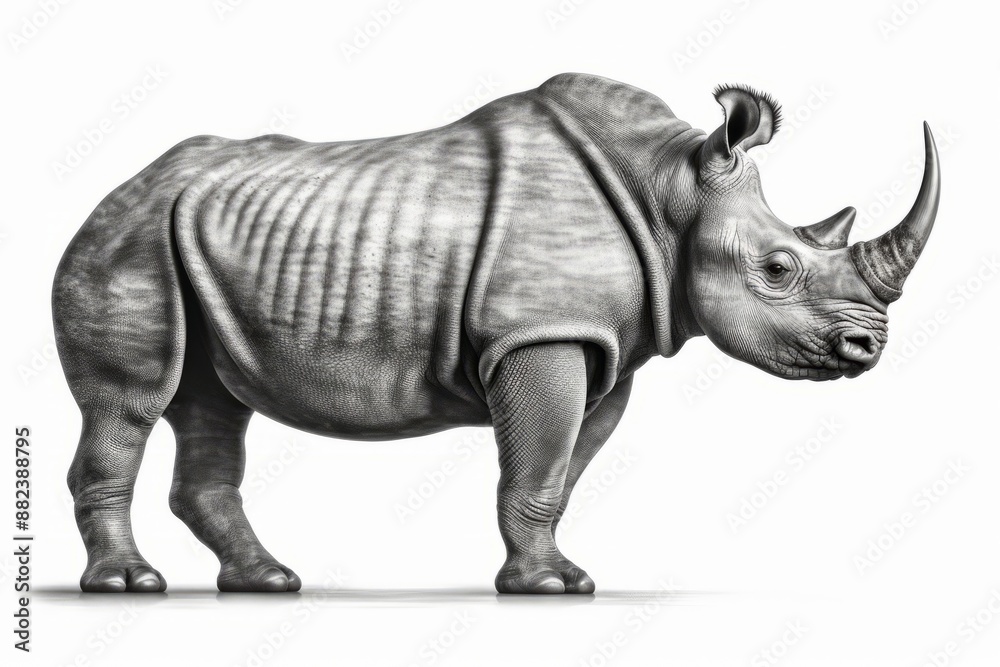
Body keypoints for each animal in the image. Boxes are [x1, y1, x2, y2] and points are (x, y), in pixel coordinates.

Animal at [53, 73, 939, 594]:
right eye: (779, 267)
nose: (868, 348)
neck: (670, 192)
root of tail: (116, 189)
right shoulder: (540, 333)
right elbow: (540, 463)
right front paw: (546, 587)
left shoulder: (602, 348)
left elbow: (559, 473)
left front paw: (557, 576)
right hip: (129, 238)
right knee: (131, 402)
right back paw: (129, 584)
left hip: (183, 237)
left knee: (211, 401)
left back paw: (267, 580)